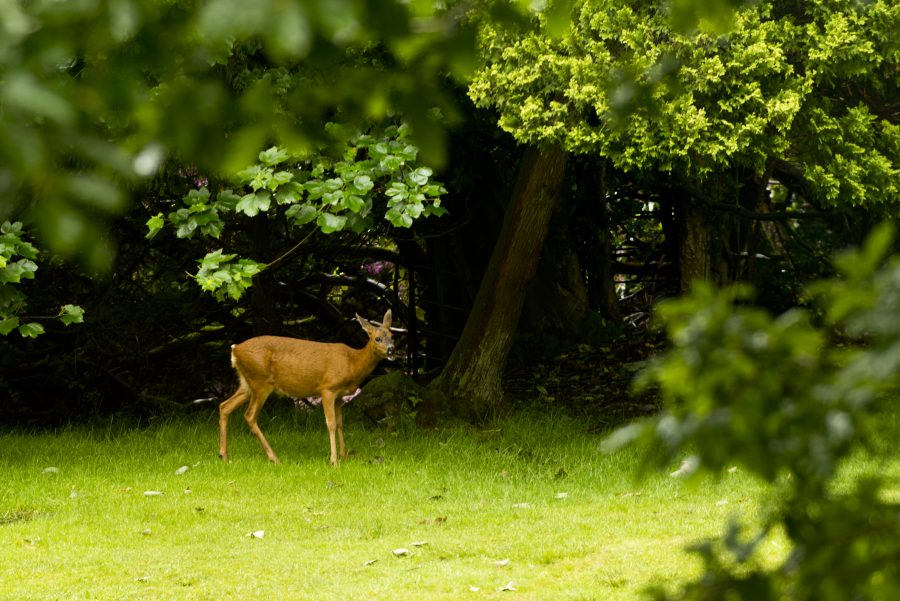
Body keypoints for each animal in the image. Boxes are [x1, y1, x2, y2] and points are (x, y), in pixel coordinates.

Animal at [219, 310, 394, 464]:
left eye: (392, 336)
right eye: (377, 338)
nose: (391, 350)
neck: (352, 362)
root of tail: (235, 350)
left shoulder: (340, 396)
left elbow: (340, 423)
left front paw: (344, 456)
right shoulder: (328, 388)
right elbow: (330, 423)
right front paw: (334, 460)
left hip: (247, 384)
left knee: (224, 406)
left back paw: (224, 456)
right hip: (260, 382)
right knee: (249, 415)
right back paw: (274, 458)